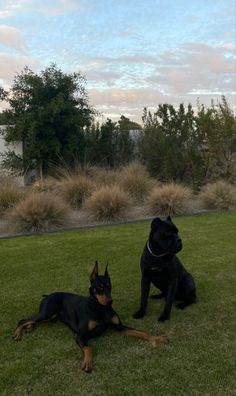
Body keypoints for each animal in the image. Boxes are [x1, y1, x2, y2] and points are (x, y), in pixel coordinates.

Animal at [13, 262, 168, 372]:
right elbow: (88, 348)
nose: (110, 301)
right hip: (47, 312)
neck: (100, 308)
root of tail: (48, 295)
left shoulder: (119, 327)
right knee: (23, 320)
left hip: (51, 317)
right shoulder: (80, 335)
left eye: (109, 286)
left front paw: (157, 338)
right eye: (99, 287)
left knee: (32, 320)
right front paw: (88, 362)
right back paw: (18, 333)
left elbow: (141, 332)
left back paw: (29, 328)